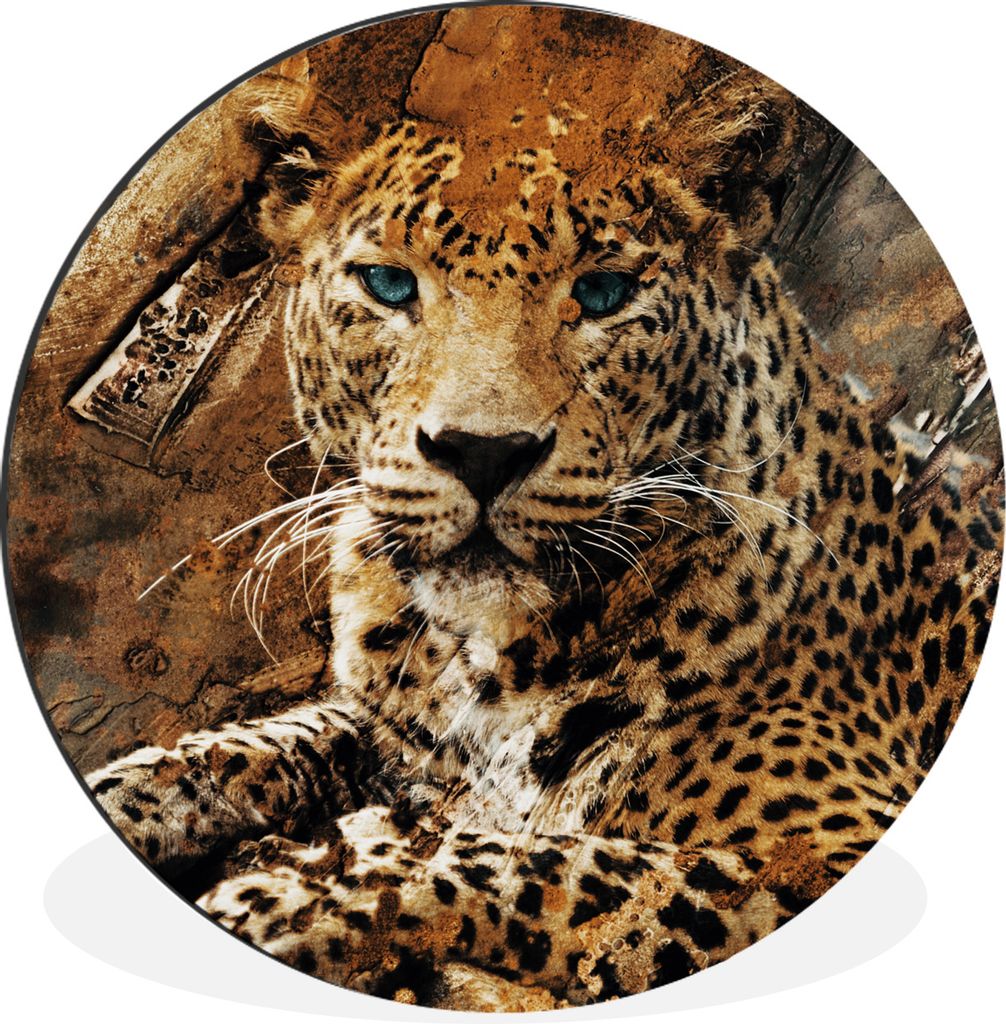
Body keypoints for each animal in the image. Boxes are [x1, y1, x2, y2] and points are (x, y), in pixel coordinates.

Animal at [84, 63, 1002, 1011]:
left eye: (602, 294)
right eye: (387, 285)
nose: (483, 451)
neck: (483, 658)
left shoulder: (824, 850)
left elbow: (543, 864)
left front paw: (284, 897)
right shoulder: (390, 727)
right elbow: (246, 745)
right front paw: (129, 795)